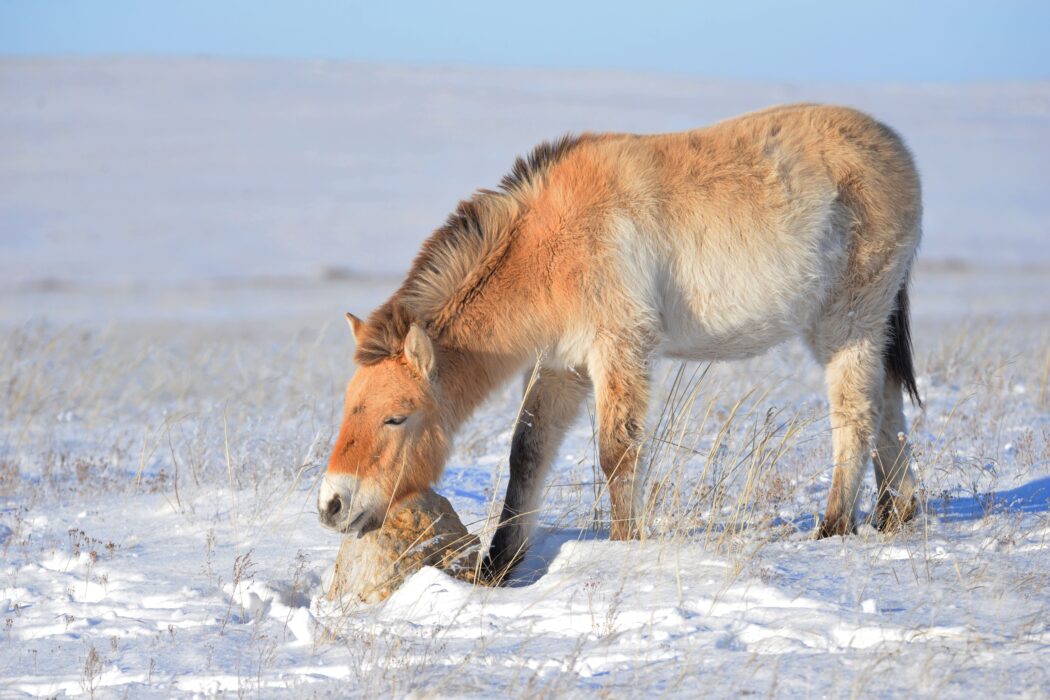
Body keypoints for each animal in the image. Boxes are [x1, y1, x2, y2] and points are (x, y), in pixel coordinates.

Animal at [317, 102, 919, 579]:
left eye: (396, 417)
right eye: (348, 407)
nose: (331, 505)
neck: (548, 244)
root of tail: (895, 150)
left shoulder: (619, 350)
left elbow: (616, 452)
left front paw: (624, 546)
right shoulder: (560, 366)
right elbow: (527, 454)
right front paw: (500, 564)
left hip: (847, 324)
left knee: (857, 416)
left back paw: (834, 526)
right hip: (869, 327)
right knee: (888, 408)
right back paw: (897, 515)